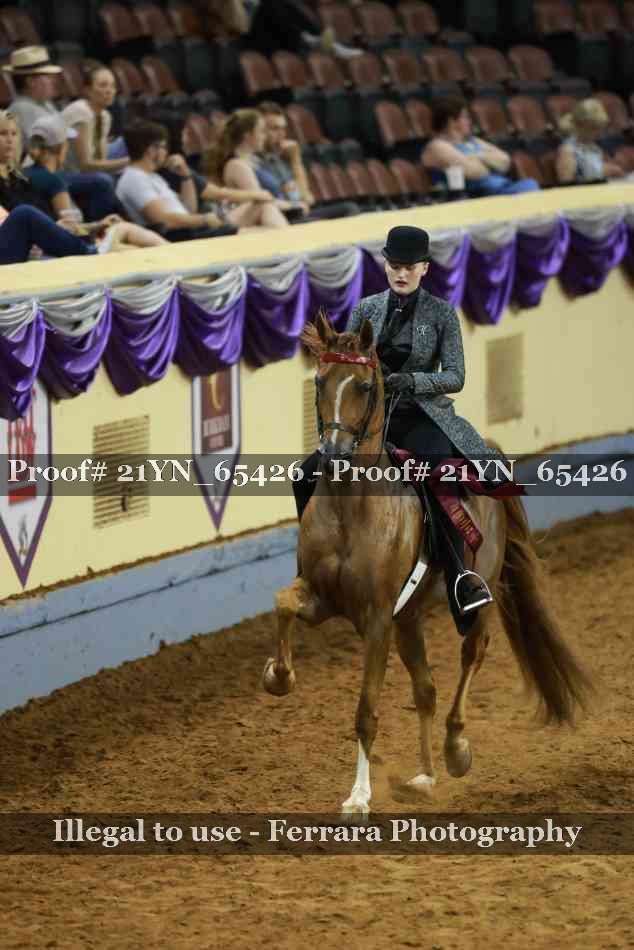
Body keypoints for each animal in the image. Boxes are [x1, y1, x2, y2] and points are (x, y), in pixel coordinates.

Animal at [262, 311, 592, 819]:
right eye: (319, 380)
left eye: (364, 386)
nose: (334, 455)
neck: (352, 507)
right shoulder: (322, 599)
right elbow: (282, 604)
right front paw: (278, 677)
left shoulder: (377, 619)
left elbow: (366, 710)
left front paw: (358, 797)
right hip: (410, 618)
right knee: (426, 689)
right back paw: (425, 776)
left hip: (473, 596)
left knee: (472, 655)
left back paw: (456, 751)